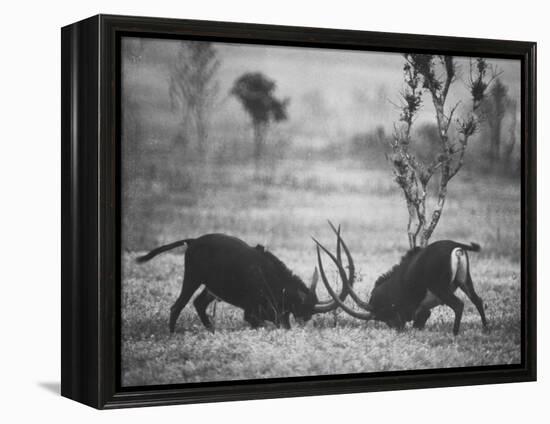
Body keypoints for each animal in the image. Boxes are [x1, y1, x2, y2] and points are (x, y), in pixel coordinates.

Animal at [137, 230, 354, 332]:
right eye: (304, 307)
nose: (306, 322)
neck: (271, 276)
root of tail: (192, 241)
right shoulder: (251, 314)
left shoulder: (276, 315)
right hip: (192, 278)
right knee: (177, 306)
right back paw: (173, 335)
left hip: (211, 288)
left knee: (199, 303)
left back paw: (212, 331)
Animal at [316, 225, 490, 334]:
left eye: (384, 314)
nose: (397, 327)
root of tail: (455, 245)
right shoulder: (422, 310)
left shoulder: (414, 309)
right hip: (464, 281)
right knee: (478, 300)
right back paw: (485, 329)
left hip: (441, 288)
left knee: (458, 305)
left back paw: (455, 333)